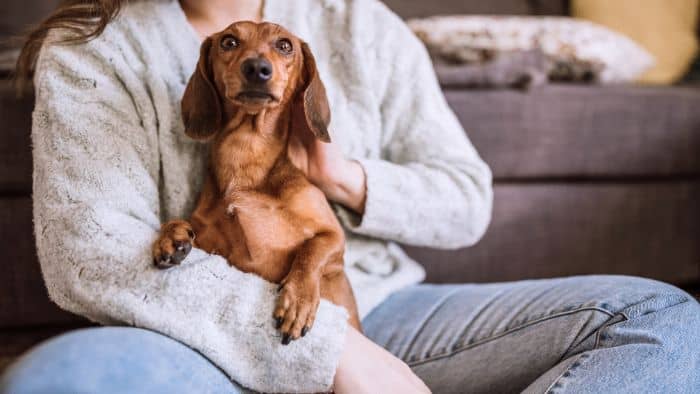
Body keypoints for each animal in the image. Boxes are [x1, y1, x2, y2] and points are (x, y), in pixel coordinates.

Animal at [152, 21, 360, 344]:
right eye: (228, 41)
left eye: (285, 45)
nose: (257, 68)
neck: (246, 152)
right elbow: (179, 221)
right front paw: (170, 237)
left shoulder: (333, 236)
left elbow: (311, 252)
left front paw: (298, 300)